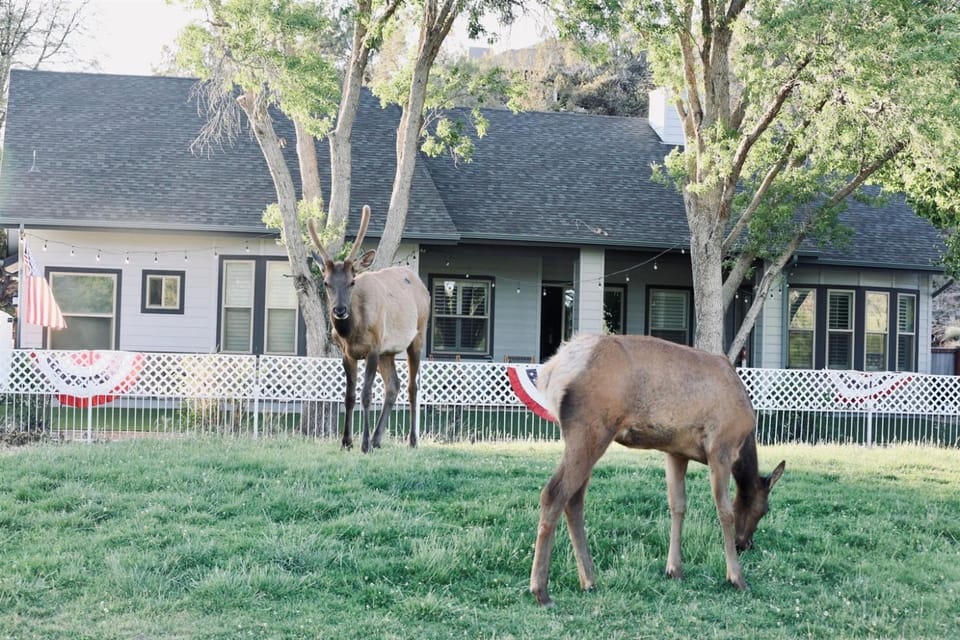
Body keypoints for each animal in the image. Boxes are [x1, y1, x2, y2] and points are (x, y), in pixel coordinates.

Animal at [307, 205, 430, 453]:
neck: (352, 332)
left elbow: (366, 394)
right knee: (393, 385)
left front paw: (363, 444)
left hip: (417, 335)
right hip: (387, 351)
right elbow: (349, 395)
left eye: (352, 282)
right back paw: (377, 439)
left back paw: (411, 440)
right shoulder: (347, 353)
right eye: (326, 283)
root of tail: (422, 286)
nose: (340, 310)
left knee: (412, 386)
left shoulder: (373, 348)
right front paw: (346, 441)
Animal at [529, 333, 785, 607]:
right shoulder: (720, 448)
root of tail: (553, 370)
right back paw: (542, 591)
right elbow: (725, 512)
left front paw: (674, 569)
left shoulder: (676, 452)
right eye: (764, 510)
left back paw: (588, 580)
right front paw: (736, 577)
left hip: (587, 438)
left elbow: (678, 505)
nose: (744, 544)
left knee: (574, 499)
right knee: (553, 493)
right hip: (589, 431)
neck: (744, 441)